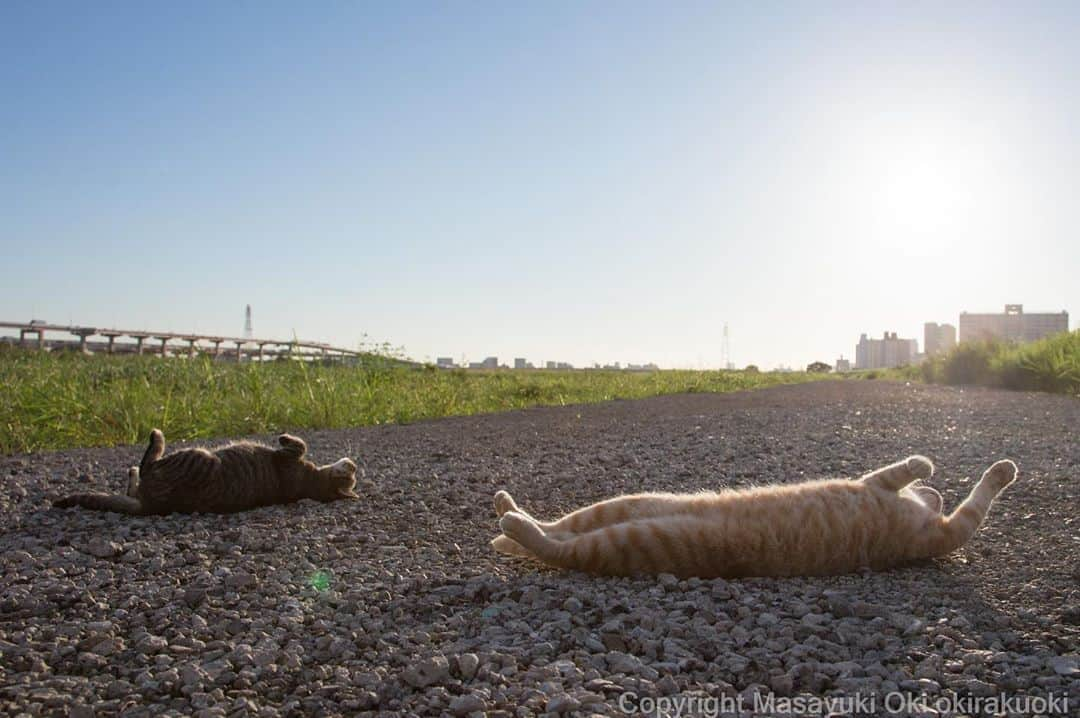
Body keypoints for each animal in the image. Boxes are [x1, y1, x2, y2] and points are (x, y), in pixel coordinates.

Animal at [53, 427, 358, 511]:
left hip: (194, 459)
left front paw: (284, 437)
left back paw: (155, 439)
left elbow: (299, 445)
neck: (313, 479)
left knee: (148, 462)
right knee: (134, 485)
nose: (354, 464)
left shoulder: (288, 459)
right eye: (352, 473)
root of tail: (152, 506)